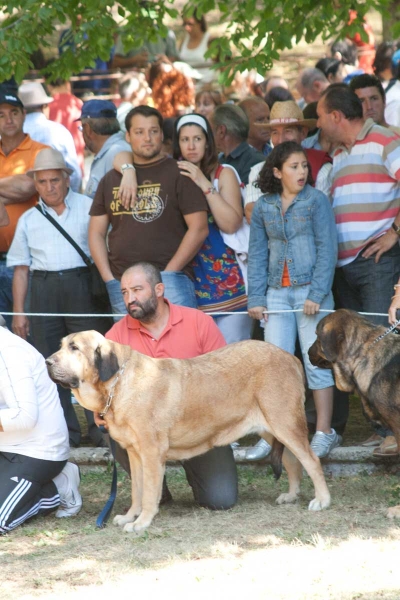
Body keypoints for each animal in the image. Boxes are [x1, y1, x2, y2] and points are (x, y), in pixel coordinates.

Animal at [46, 332, 332, 536]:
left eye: (74, 348)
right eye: (62, 345)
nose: (47, 361)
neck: (117, 384)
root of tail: (291, 357)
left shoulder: (151, 453)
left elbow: (149, 493)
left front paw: (142, 522)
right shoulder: (135, 454)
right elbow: (138, 490)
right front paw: (130, 516)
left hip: (286, 423)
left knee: (311, 461)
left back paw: (322, 500)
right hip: (274, 430)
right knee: (293, 462)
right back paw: (291, 495)